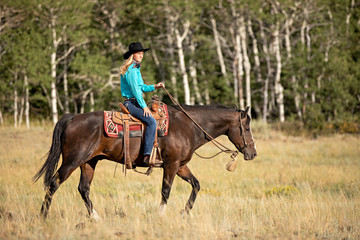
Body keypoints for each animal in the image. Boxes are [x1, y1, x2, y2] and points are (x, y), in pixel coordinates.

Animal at [33, 104, 256, 218]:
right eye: (246, 128)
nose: (253, 153)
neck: (188, 126)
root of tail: (74, 117)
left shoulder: (180, 165)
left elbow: (196, 184)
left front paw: (184, 212)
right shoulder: (171, 165)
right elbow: (166, 191)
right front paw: (161, 215)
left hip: (89, 162)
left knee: (83, 188)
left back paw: (95, 216)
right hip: (72, 161)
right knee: (53, 183)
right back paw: (43, 216)